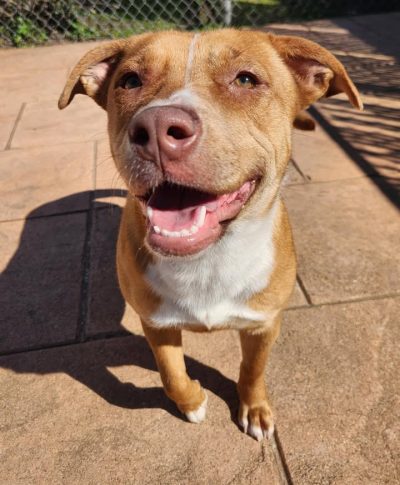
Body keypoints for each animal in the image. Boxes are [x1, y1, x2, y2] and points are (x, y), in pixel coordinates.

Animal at [59, 30, 362, 441]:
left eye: (246, 79)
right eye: (130, 80)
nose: (157, 129)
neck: (208, 260)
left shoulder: (264, 325)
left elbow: (253, 370)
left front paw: (255, 409)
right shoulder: (156, 324)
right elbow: (171, 374)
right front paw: (192, 403)